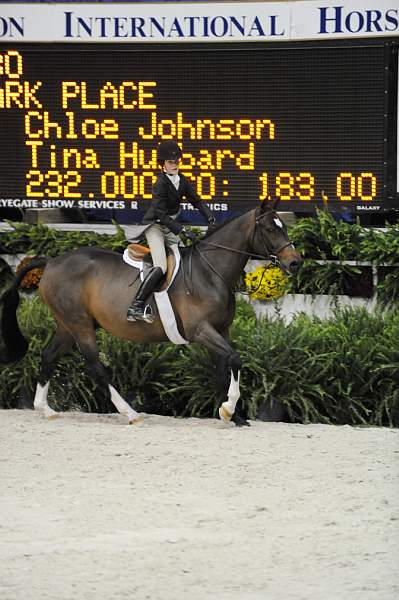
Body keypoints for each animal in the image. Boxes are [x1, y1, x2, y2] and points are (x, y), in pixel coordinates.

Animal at [0, 203, 304, 426]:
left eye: (283, 226)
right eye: (270, 228)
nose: (295, 263)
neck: (210, 271)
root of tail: (51, 262)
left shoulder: (220, 330)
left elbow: (223, 368)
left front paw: (232, 415)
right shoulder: (201, 330)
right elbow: (235, 359)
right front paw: (229, 409)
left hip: (68, 326)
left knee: (48, 356)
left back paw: (45, 409)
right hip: (81, 326)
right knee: (96, 368)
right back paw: (131, 413)